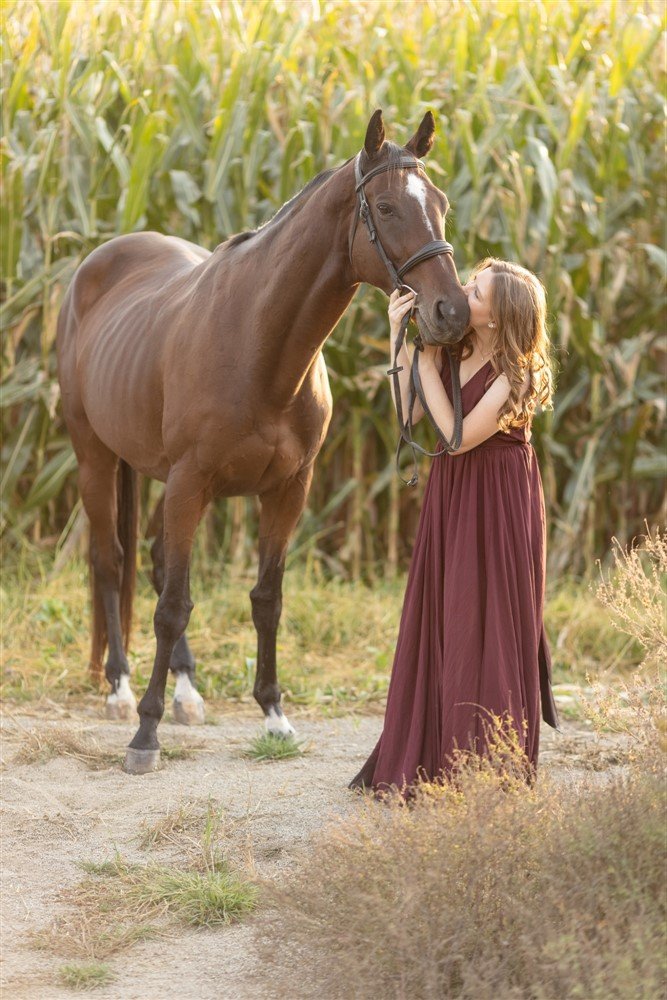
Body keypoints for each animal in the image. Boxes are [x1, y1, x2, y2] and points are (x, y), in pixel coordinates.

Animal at [56, 109, 470, 772]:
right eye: (384, 207)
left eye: (440, 202)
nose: (451, 312)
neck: (258, 346)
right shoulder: (191, 483)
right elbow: (172, 606)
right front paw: (145, 734)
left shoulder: (286, 490)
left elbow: (266, 598)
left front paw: (275, 716)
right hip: (96, 457)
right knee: (110, 561)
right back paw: (120, 690)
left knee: (152, 562)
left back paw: (188, 693)